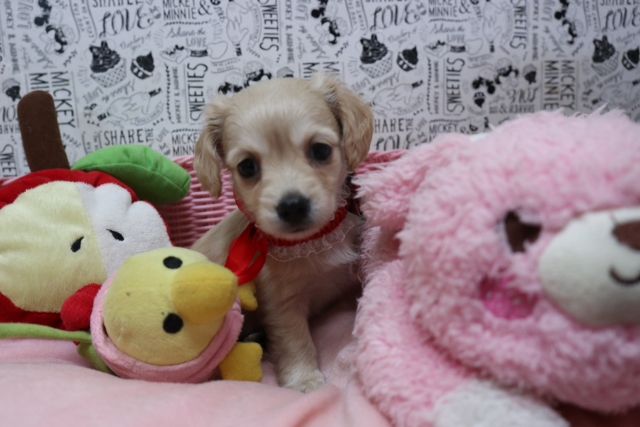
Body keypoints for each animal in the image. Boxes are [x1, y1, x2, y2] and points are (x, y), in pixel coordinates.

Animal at [191, 73, 374, 392]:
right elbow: (295, 341)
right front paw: (305, 380)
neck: (314, 240)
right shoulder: (281, 305)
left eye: (320, 150)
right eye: (247, 167)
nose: (292, 206)